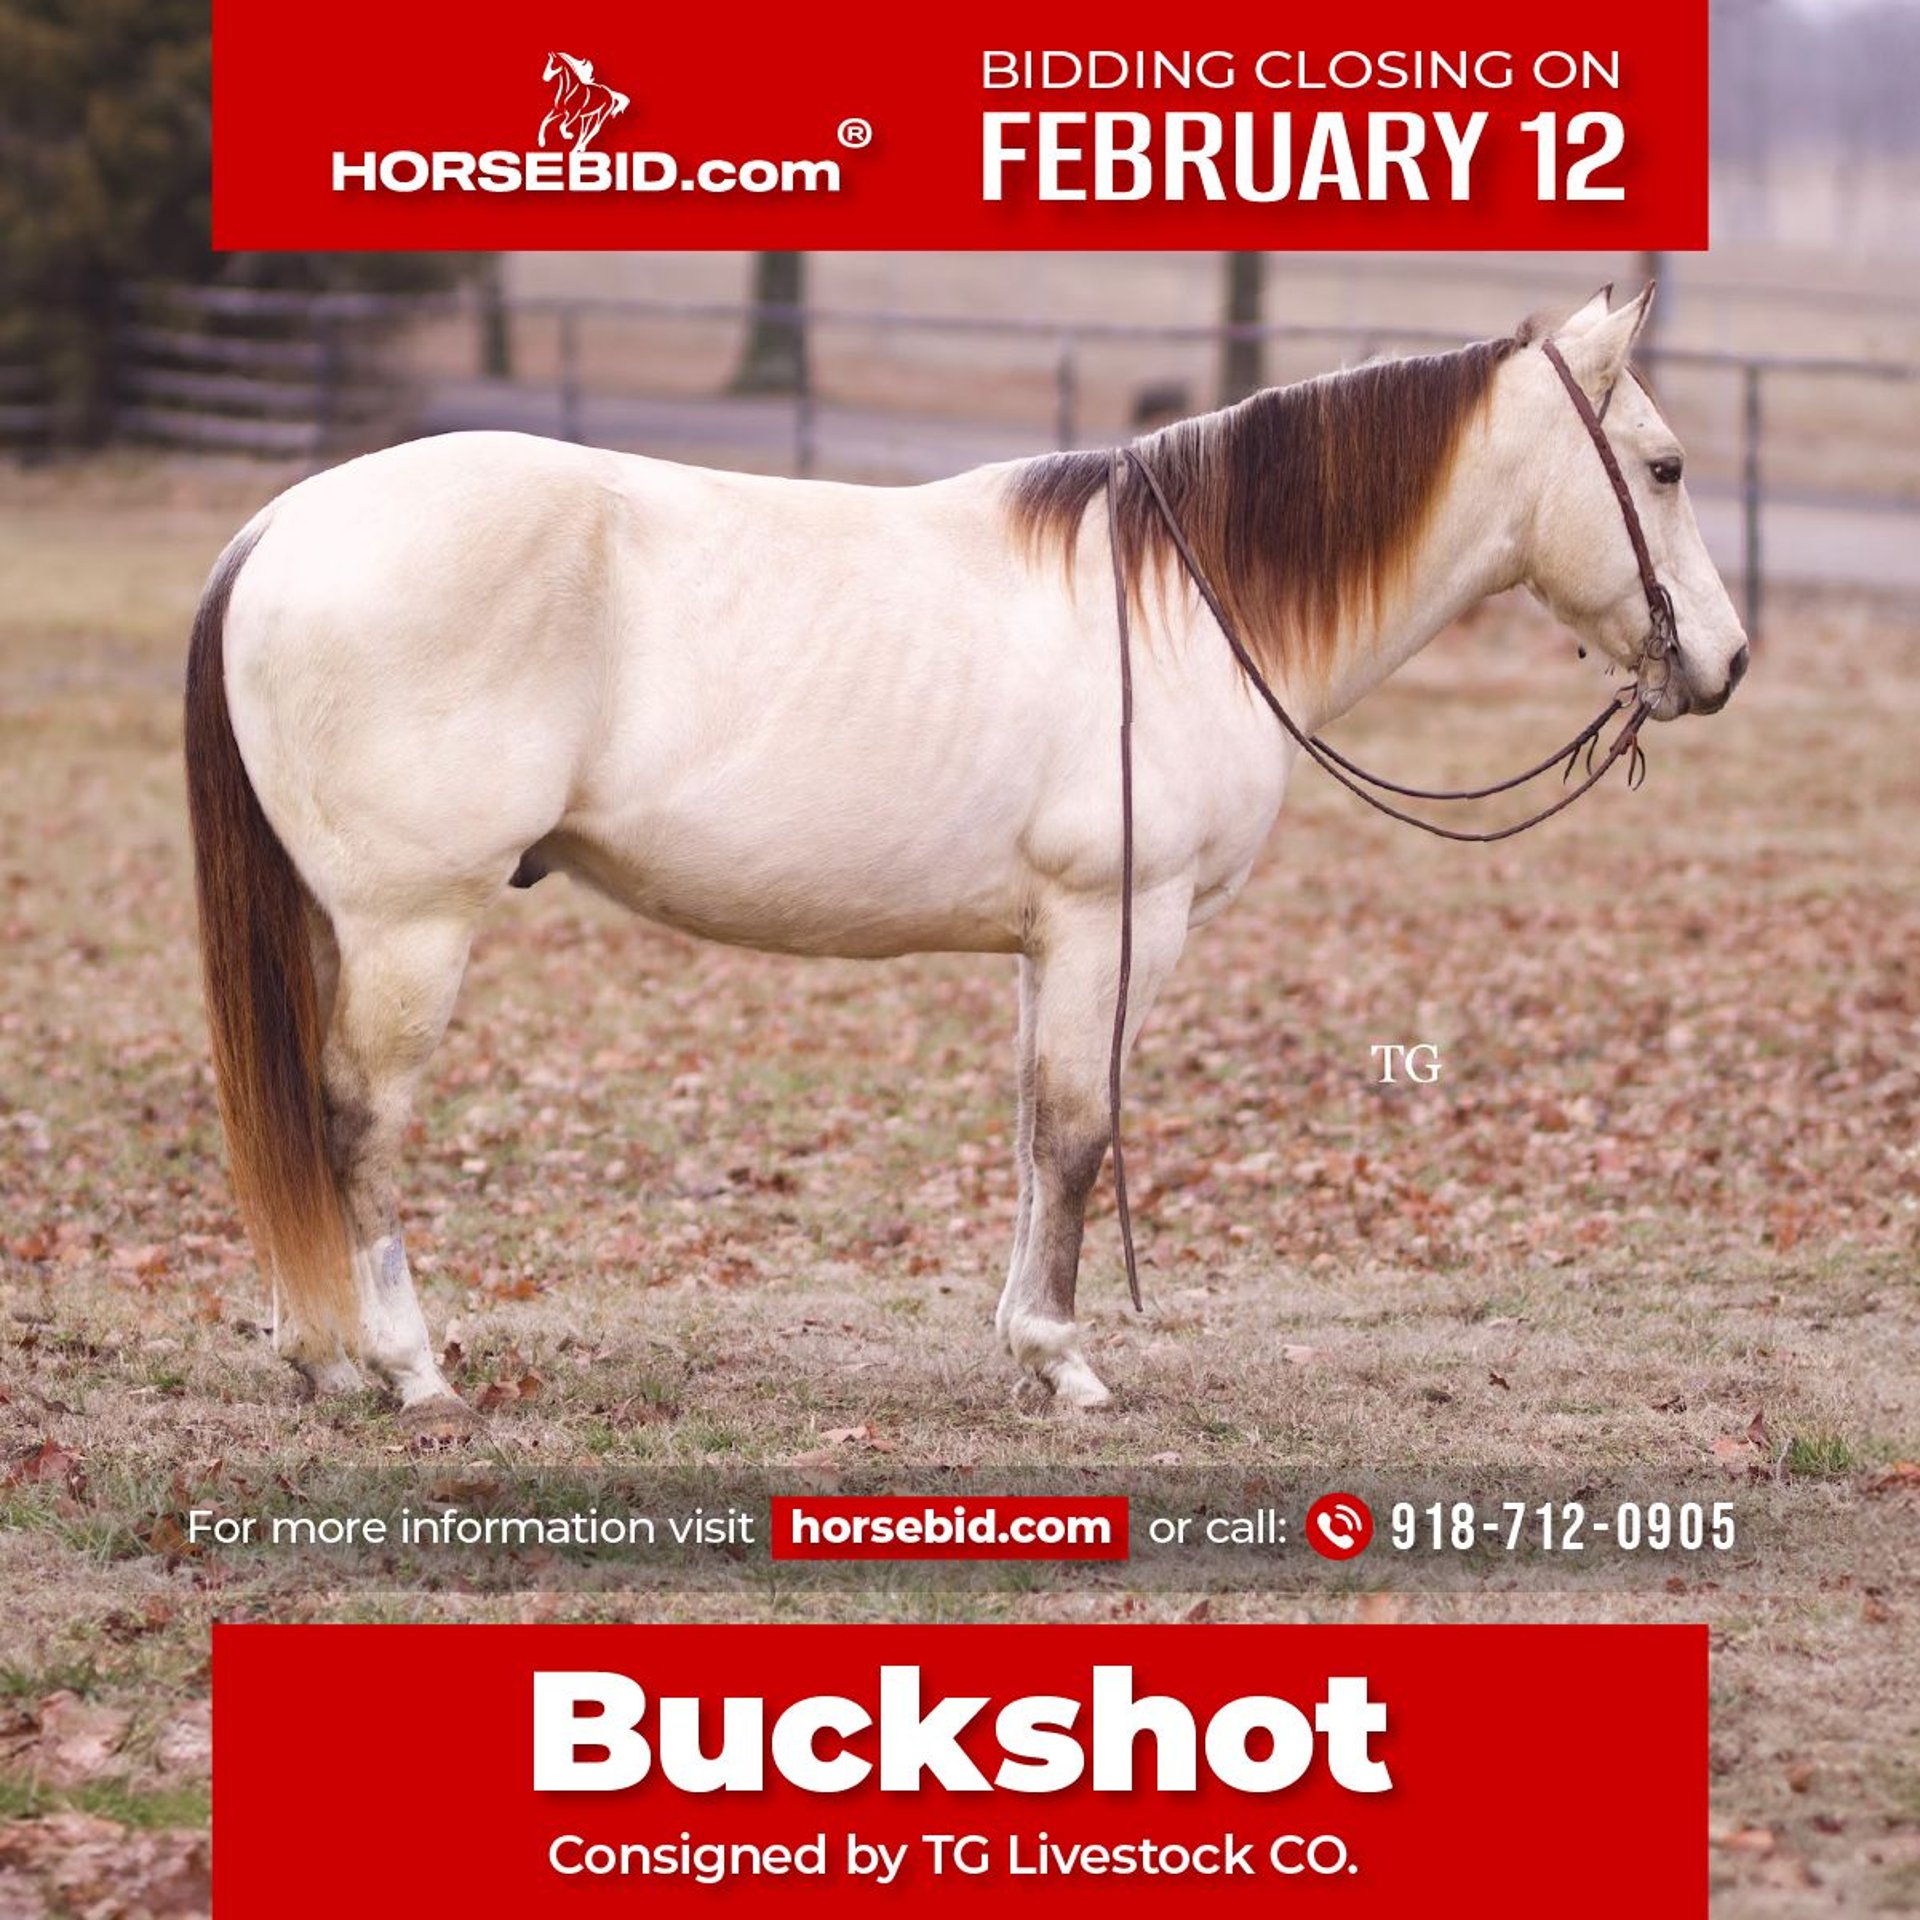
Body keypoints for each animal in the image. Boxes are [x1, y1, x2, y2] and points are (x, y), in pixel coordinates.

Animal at [183, 287, 1748, 1438]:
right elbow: (1077, 1132)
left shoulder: (1050, 941)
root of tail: (279, 524)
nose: (1725, 663)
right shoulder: (1122, 925)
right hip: (409, 927)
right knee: (357, 1122)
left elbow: (1029, 1134)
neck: (1186, 603)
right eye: (1666, 467)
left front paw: (1020, 1342)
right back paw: (410, 1370)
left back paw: (321, 1353)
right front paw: (1066, 1362)